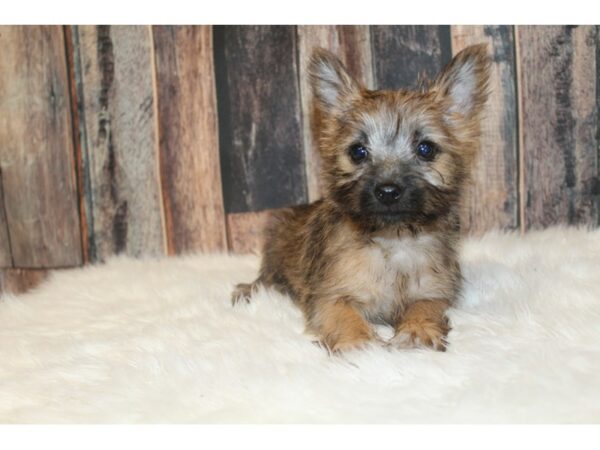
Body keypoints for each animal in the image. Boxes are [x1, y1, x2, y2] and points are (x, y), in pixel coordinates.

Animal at [232, 45, 490, 354]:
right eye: (358, 152)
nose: (388, 191)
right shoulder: (329, 295)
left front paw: (417, 331)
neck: (393, 240)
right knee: (266, 280)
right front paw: (359, 342)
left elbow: (424, 307)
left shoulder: (434, 292)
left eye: (426, 149)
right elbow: (344, 315)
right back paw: (247, 291)